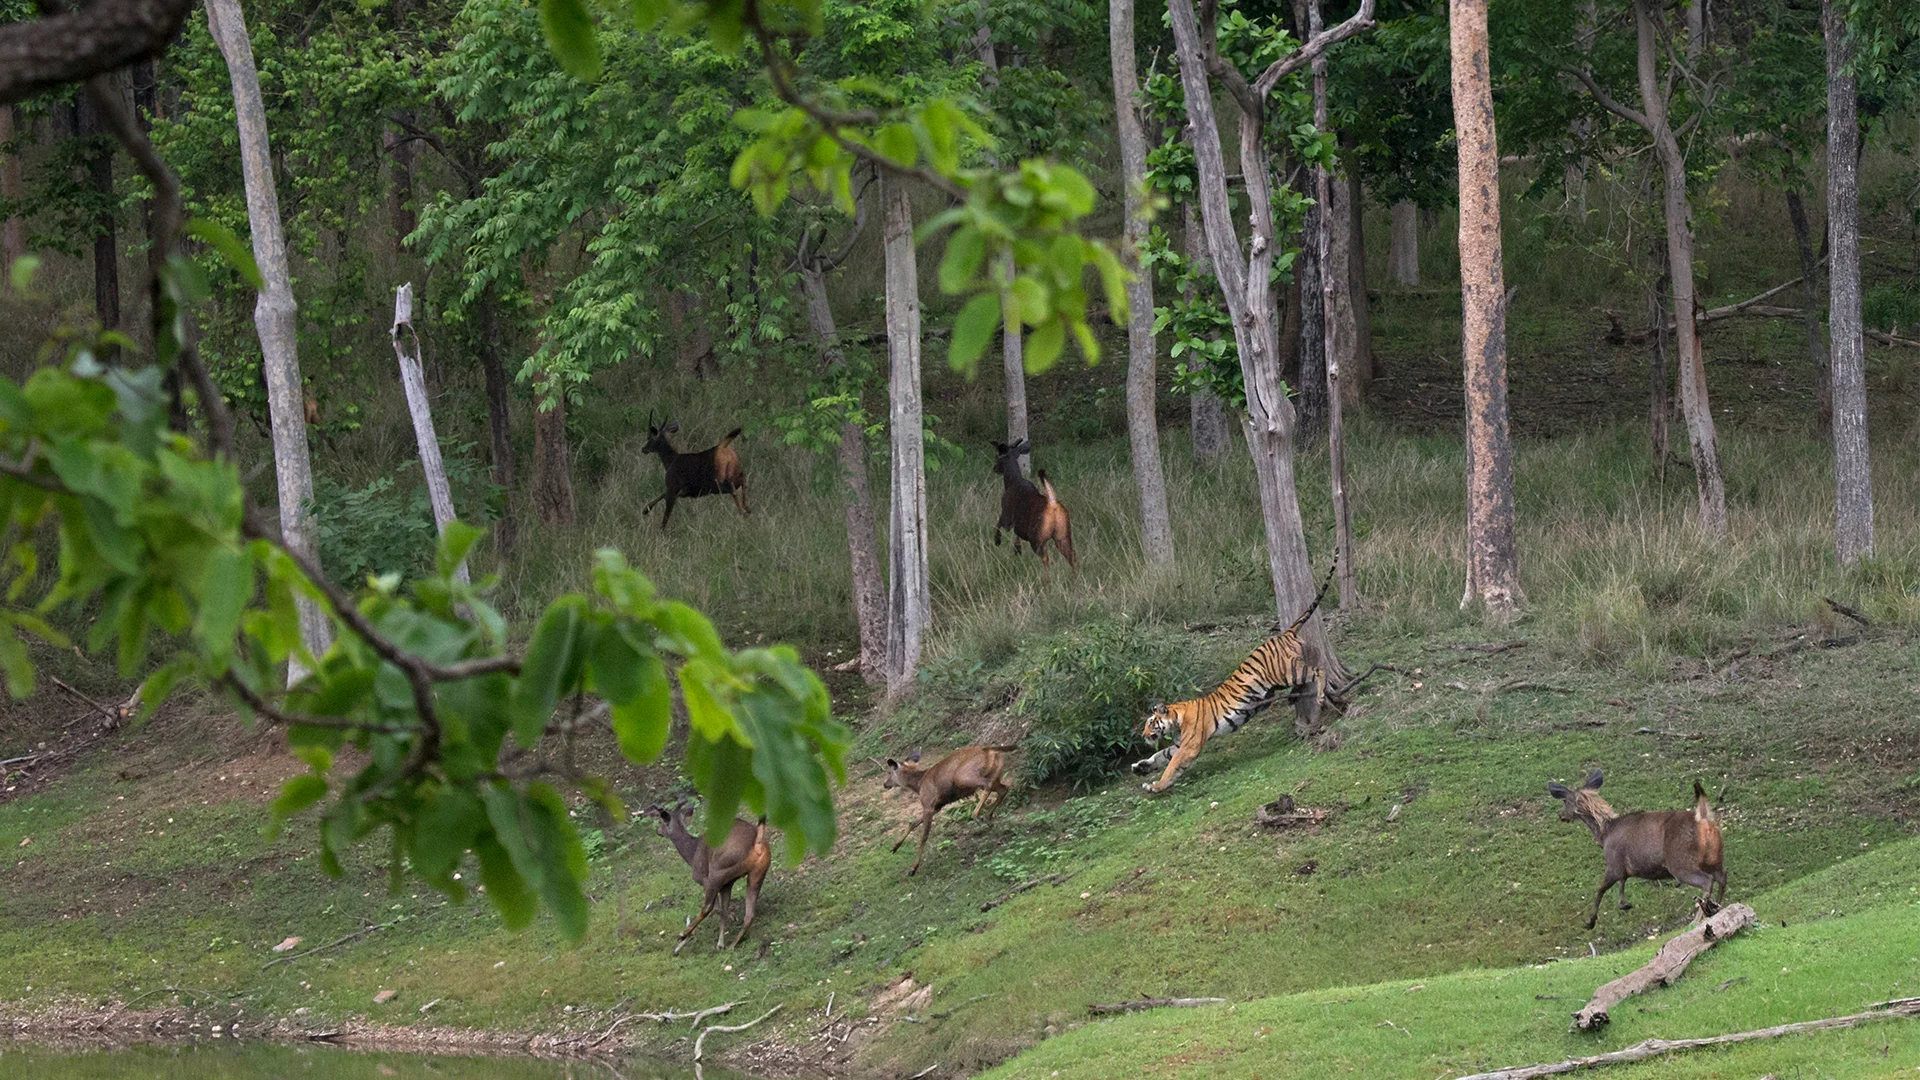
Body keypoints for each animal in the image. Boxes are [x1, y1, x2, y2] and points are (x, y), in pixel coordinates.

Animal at [1132, 557, 1340, 794]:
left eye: (1151, 722)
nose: (1143, 736)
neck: (1177, 718)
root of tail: (1284, 634)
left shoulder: (1189, 745)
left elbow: (1171, 766)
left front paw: (1156, 786)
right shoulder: (1177, 744)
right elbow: (1160, 755)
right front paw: (1141, 767)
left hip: (1286, 672)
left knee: (1318, 670)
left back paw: (1320, 696)